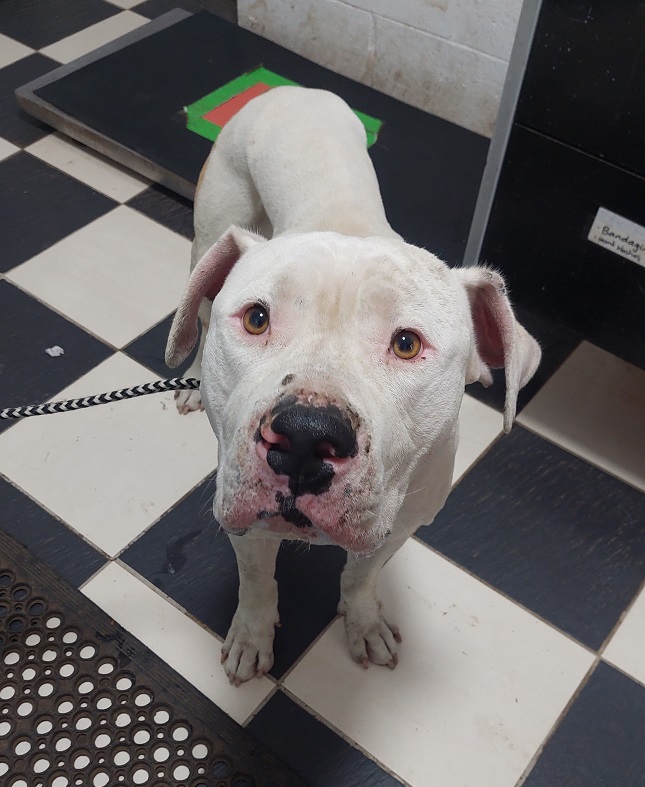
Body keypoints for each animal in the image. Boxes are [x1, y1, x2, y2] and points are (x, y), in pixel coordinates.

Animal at [166, 86, 541, 685]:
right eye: (256, 318)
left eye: (407, 343)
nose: (302, 436)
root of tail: (291, 89)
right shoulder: (248, 523)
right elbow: (256, 582)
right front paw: (251, 634)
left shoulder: (401, 524)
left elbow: (362, 576)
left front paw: (363, 621)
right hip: (211, 236)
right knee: (196, 311)